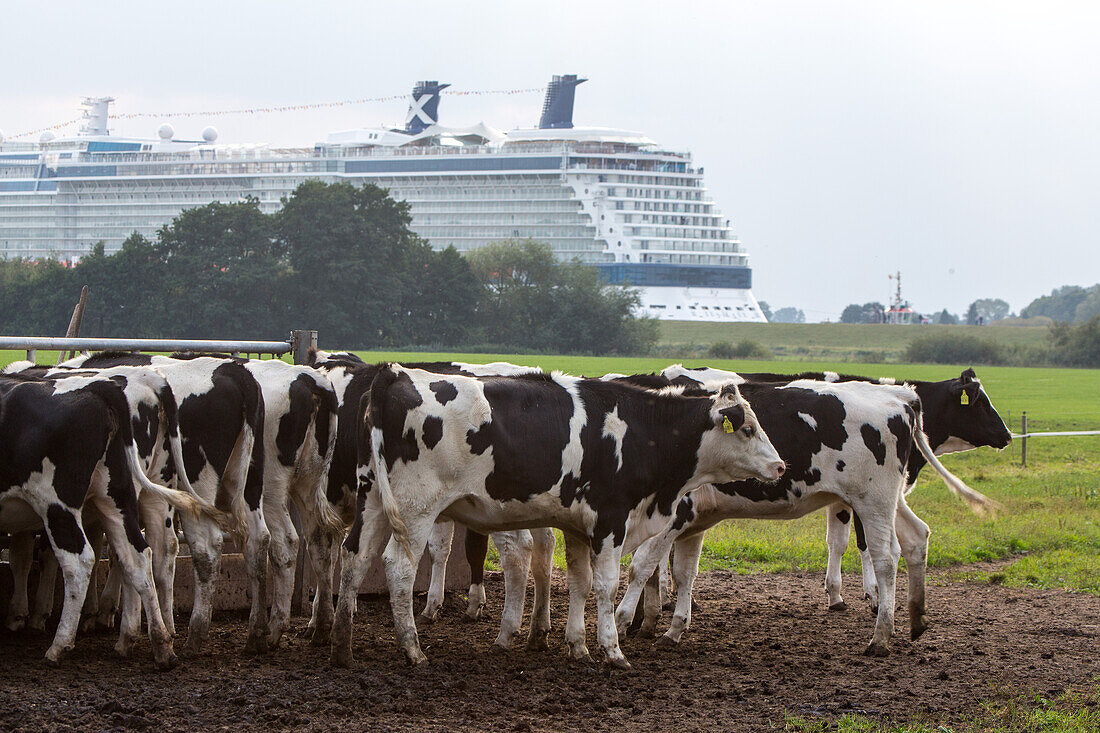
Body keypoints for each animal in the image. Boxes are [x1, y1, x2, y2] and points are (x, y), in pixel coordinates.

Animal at [0, 367, 223, 664]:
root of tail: (102, 389)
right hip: (126, 495)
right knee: (147, 553)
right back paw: (160, 641)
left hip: (57, 502)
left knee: (80, 560)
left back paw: (61, 644)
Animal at [330, 363, 787, 664]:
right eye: (748, 429)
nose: (780, 466)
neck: (641, 433)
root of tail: (394, 374)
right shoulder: (610, 521)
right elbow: (605, 586)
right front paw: (612, 650)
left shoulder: (580, 527)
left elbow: (580, 583)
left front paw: (578, 645)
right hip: (415, 509)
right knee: (399, 567)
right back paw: (412, 648)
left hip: (373, 498)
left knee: (355, 557)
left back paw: (341, 645)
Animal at [611, 374, 998, 651]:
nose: (1005, 434)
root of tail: (901, 396)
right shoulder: (693, 521)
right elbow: (678, 573)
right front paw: (660, 626)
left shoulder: (675, 515)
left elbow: (641, 567)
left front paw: (623, 622)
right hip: (889, 500)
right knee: (917, 537)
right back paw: (916, 619)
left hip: (873, 501)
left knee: (886, 559)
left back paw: (881, 636)